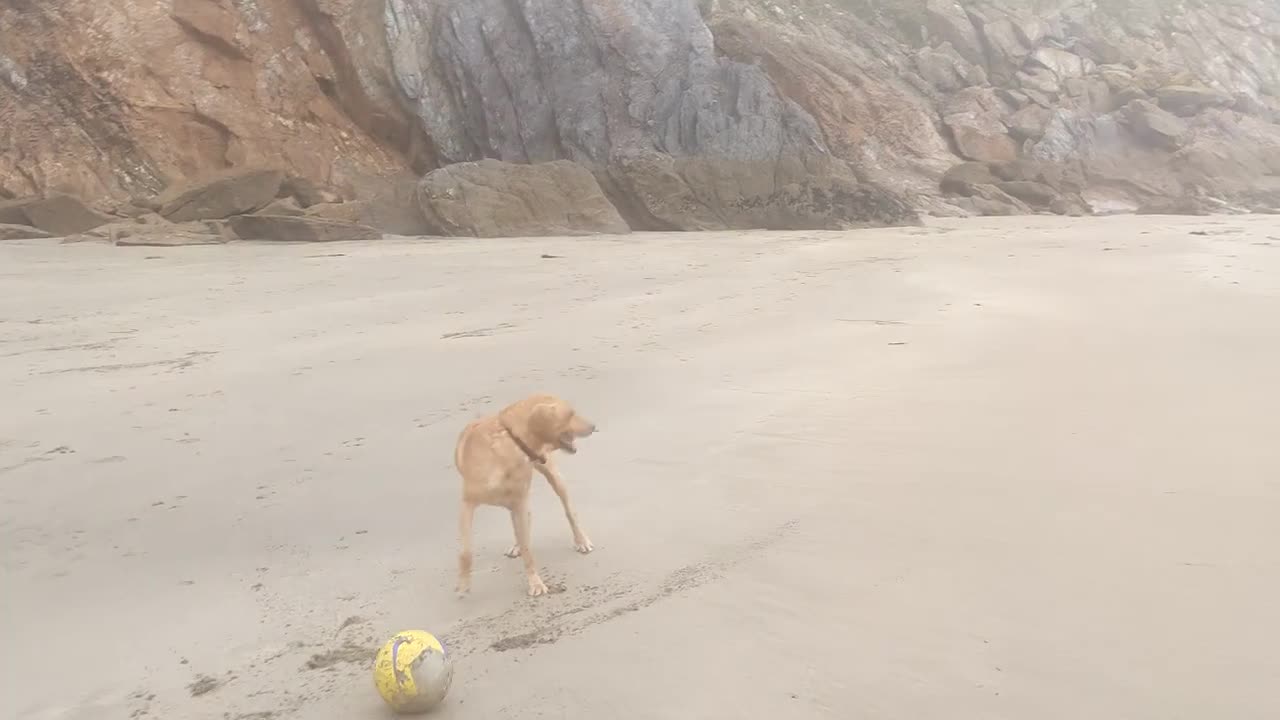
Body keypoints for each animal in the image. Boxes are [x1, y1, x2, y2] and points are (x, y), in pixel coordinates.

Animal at [455, 392, 599, 594]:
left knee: (569, 511)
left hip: (553, 478)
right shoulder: (467, 505)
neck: (511, 442)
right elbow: (466, 552)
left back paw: (581, 540)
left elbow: (528, 551)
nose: (593, 426)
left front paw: (535, 583)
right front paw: (463, 583)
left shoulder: (520, 502)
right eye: (570, 414)